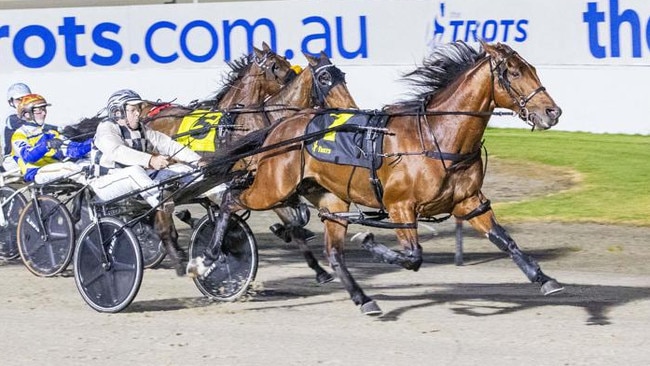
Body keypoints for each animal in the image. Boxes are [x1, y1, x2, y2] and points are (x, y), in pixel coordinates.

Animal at [189, 40, 560, 314]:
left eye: (532, 68)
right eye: (514, 72)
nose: (552, 112)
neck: (438, 135)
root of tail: (280, 126)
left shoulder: (470, 202)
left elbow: (505, 240)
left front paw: (544, 278)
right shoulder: (400, 207)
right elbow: (412, 257)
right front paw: (368, 240)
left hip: (331, 198)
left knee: (333, 252)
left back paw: (363, 298)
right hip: (272, 187)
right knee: (230, 198)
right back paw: (207, 257)